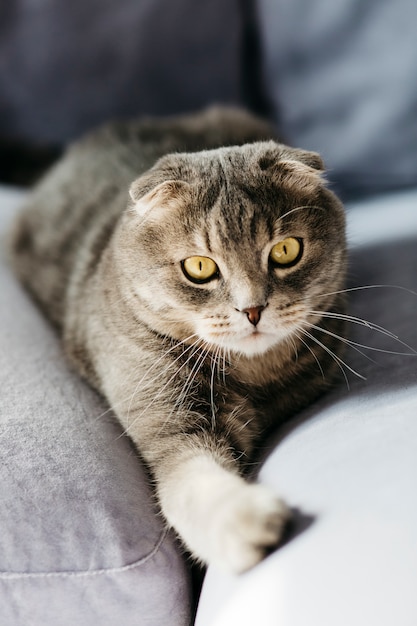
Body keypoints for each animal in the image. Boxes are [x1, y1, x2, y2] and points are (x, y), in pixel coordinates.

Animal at [11, 106, 346, 572]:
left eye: (285, 251)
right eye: (200, 267)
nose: (253, 309)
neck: (252, 376)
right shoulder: (168, 420)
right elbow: (189, 481)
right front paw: (248, 518)